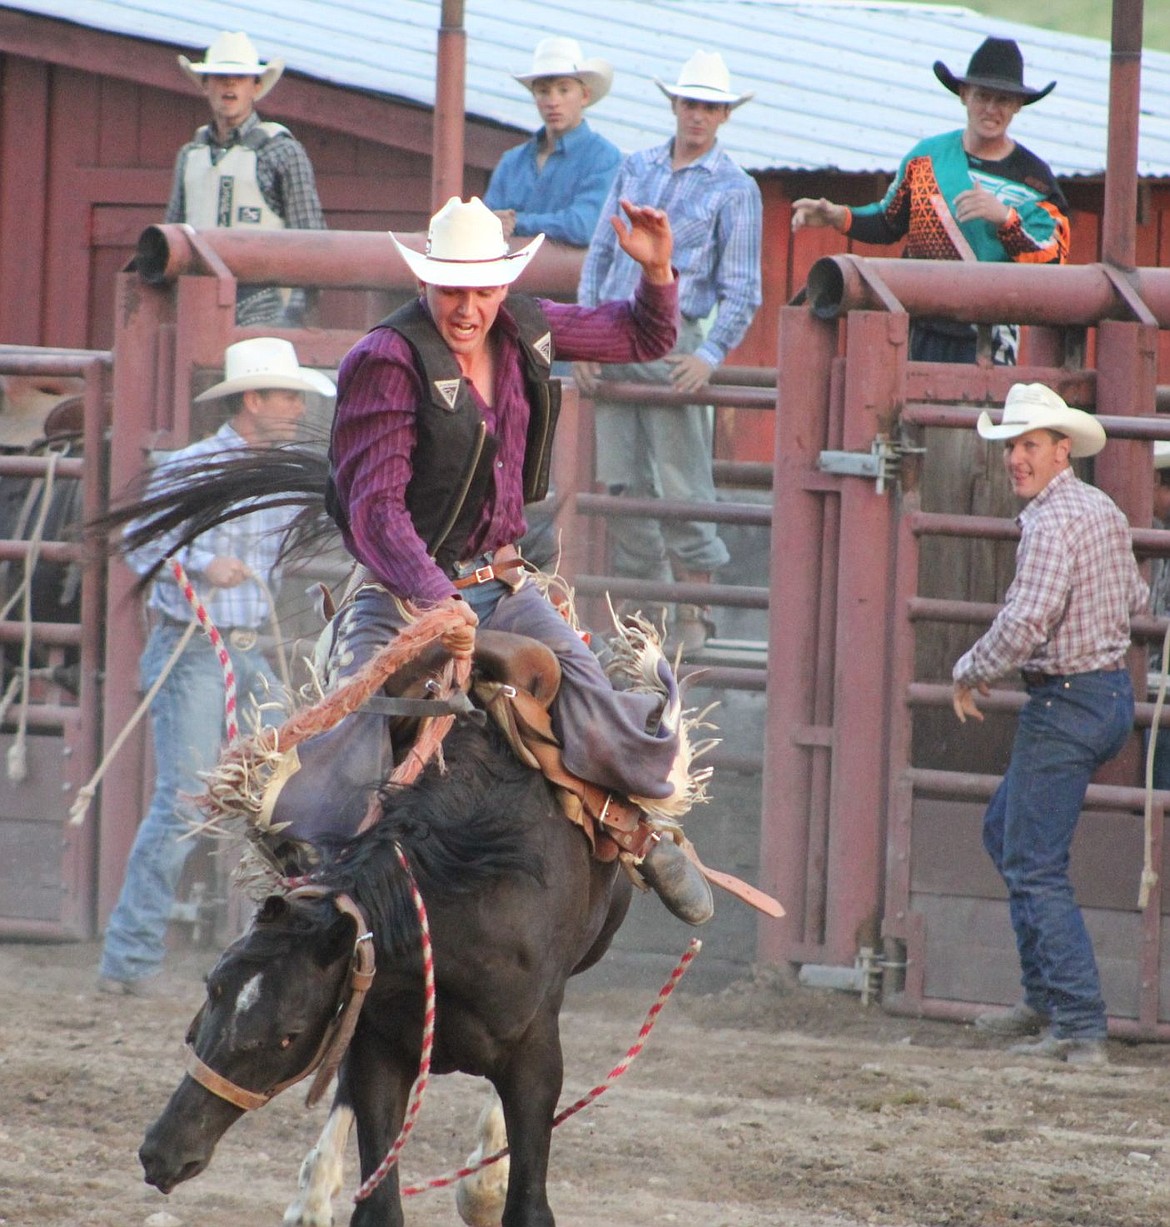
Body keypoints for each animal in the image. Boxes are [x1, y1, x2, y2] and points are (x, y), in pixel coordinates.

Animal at [139, 716, 627, 1227]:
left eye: (290, 1035)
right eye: (213, 989)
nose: (161, 1154)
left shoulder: (533, 1054)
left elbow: (528, 1201)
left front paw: (486, 1187)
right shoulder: (376, 1049)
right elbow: (379, 1201)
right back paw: (313, 1196)